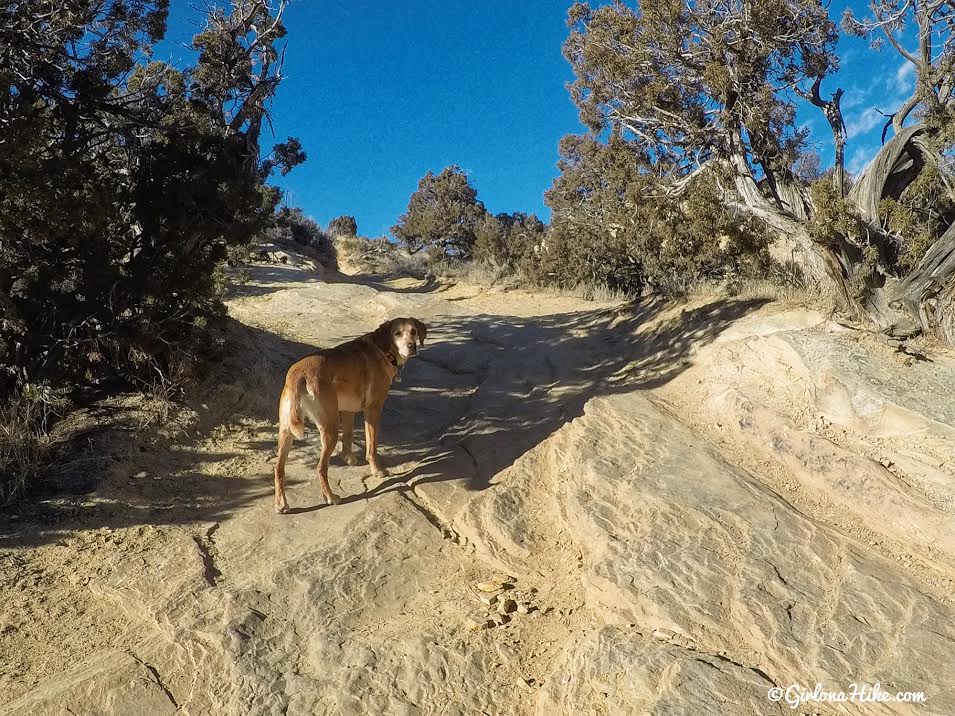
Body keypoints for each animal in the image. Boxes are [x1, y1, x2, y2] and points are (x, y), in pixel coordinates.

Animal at [274, 316, 428, 512]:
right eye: (397, 333)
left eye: (413, 331)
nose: (412, 346)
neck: (382, 348)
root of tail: (298, 375)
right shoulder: (373, 410)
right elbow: (372, 446)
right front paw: (377, 470)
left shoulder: (347, 410)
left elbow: (347, 436)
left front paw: (348, 457)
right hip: (329, 430)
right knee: (320, 468)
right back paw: (331, 497)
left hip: (286, 431)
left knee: (279, 468)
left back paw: (281, 504)